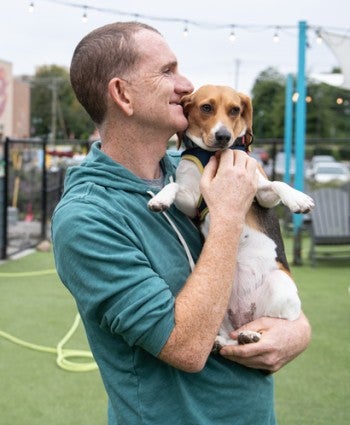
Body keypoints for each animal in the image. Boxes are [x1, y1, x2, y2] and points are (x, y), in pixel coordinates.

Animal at [148, 83, 314, 348]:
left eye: (235, 110)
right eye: (206, 107)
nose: (224, 136)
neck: (212, 155)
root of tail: (243, 319)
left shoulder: (261, 193)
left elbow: (276, 183)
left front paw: (297, 198)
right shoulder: (190, 200)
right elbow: (173, 185)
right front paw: (160, 198)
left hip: (280, 284)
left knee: (273, 325)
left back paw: (252, 334)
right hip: (216, 307)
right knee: (229, 338)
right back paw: (229, 339)